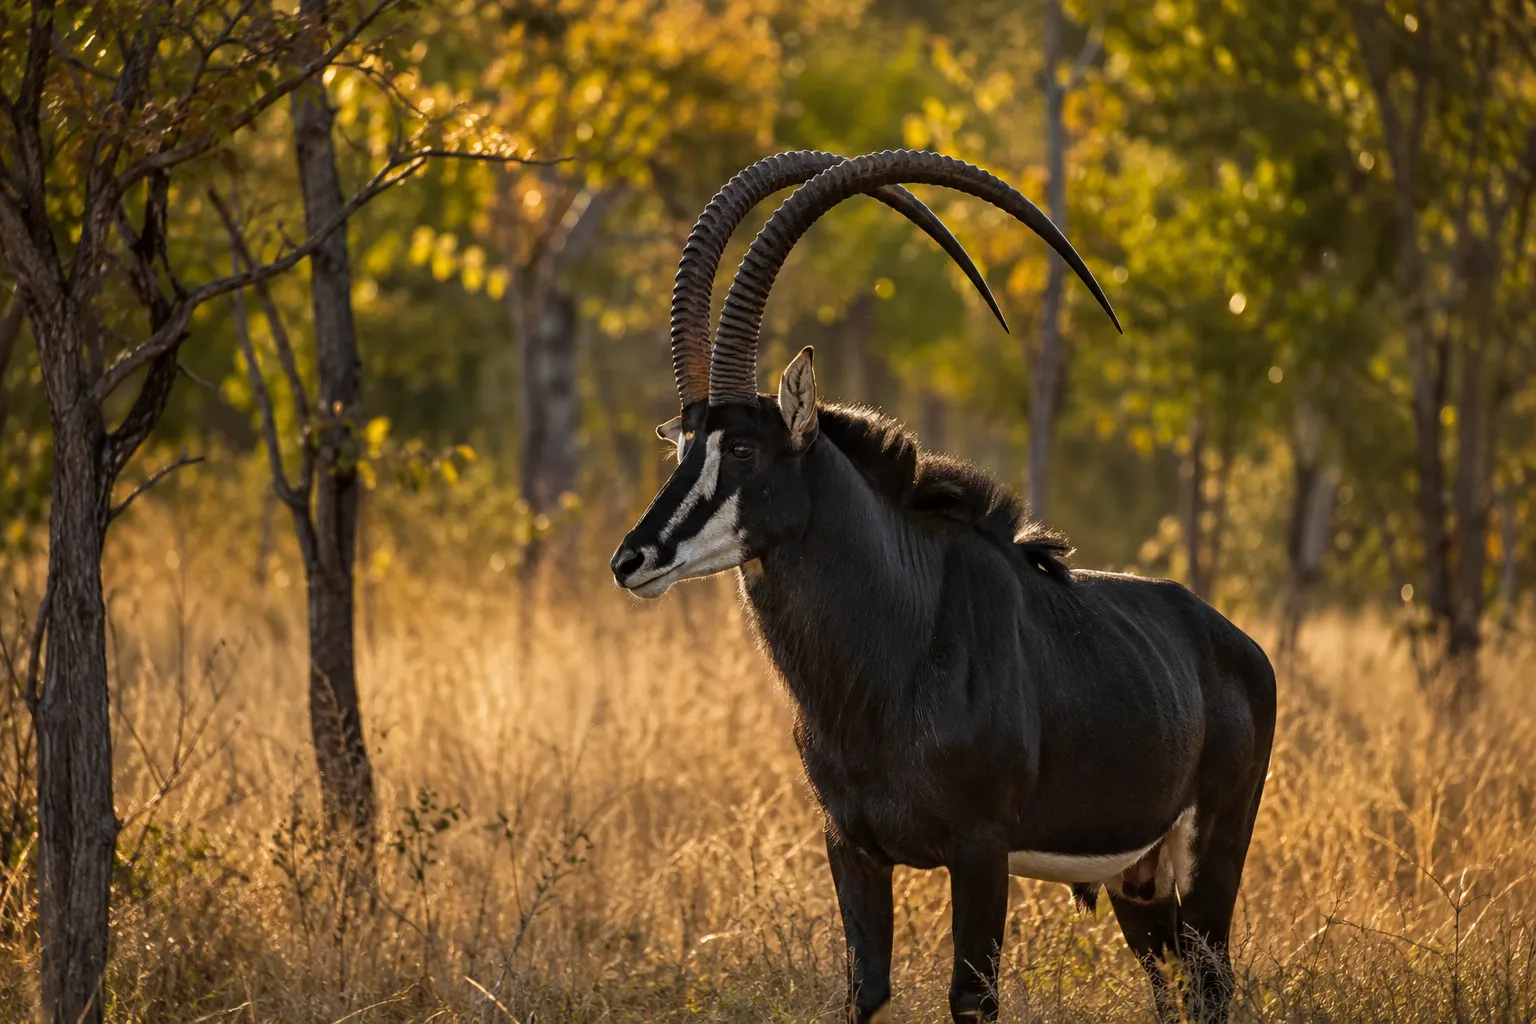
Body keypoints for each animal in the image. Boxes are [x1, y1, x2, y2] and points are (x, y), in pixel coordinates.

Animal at [612, 150, 1275, 1023]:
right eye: (683, 447)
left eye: (745, 450)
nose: (632, 559)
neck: (896, 643)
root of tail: (1240, 648)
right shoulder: (850, 846)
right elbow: (864, 991)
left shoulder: (980, 850)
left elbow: (972, 998)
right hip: (1138, 883)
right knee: (1173, 991)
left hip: (1210, 862)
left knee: (1212, 984)